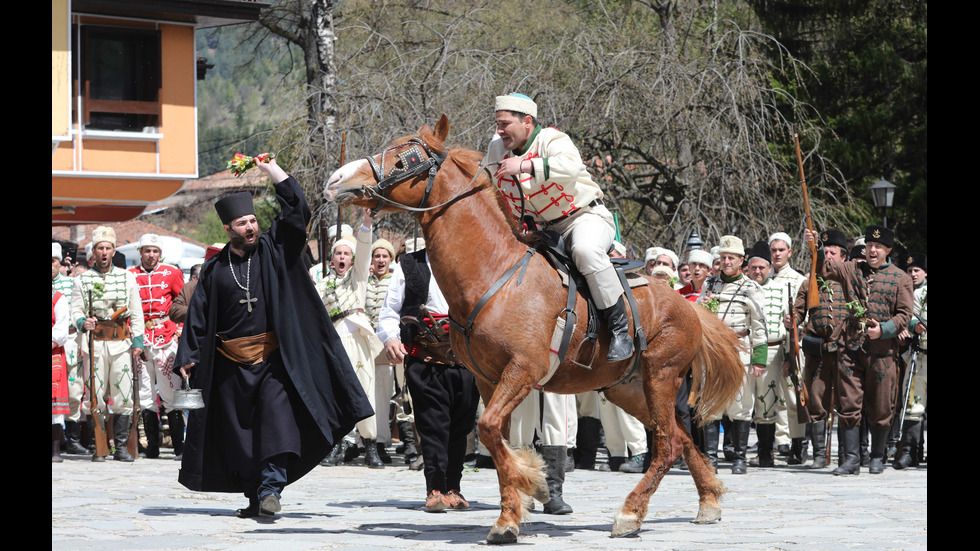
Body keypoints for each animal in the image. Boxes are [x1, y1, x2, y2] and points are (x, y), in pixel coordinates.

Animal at [328, 115, 744, 544]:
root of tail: (689, 308)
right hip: (627, 389)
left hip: (660, 378)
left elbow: (489, 430)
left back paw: (631, 513)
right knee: (681, 437)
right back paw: (708, 501)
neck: (496, 272)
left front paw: (535, 486)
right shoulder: (489, 380)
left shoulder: (522, 372)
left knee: (666, 443)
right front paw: (510, 516)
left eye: (405, 158)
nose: (338, 179)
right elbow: (496, 438)